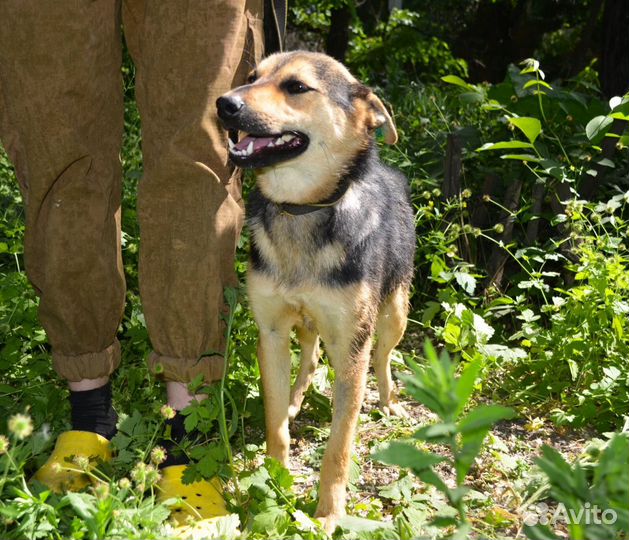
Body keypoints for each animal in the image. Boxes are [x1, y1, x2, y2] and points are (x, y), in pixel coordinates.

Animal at [217, 50, 418, 532]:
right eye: (252, 76)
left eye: (296, 87)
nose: (223, 104)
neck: (303, 210)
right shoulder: (271, 333)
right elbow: (274, 425)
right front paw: (274, 484)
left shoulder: (351, 347)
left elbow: (339, 447)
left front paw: (329, 513)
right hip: (306, 325)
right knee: (307, 357)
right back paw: (295, 399)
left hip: (394, 313)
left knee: (385, 358)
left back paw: (389, 402)